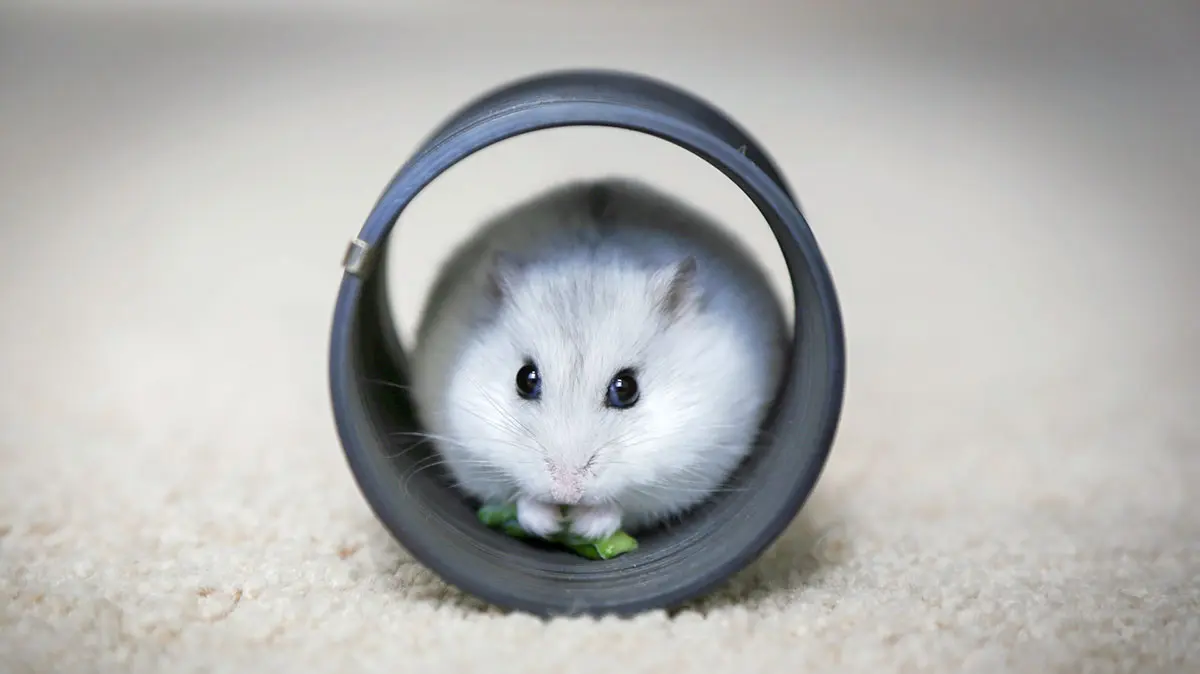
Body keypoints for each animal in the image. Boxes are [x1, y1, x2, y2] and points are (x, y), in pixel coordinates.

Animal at [408, 176, 792, 537]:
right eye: (525, 379)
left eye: (626, 389)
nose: (566, 492)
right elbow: (520, 499)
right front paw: (547, 523)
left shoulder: (690, 468)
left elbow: (623, 506)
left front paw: (585, 527)